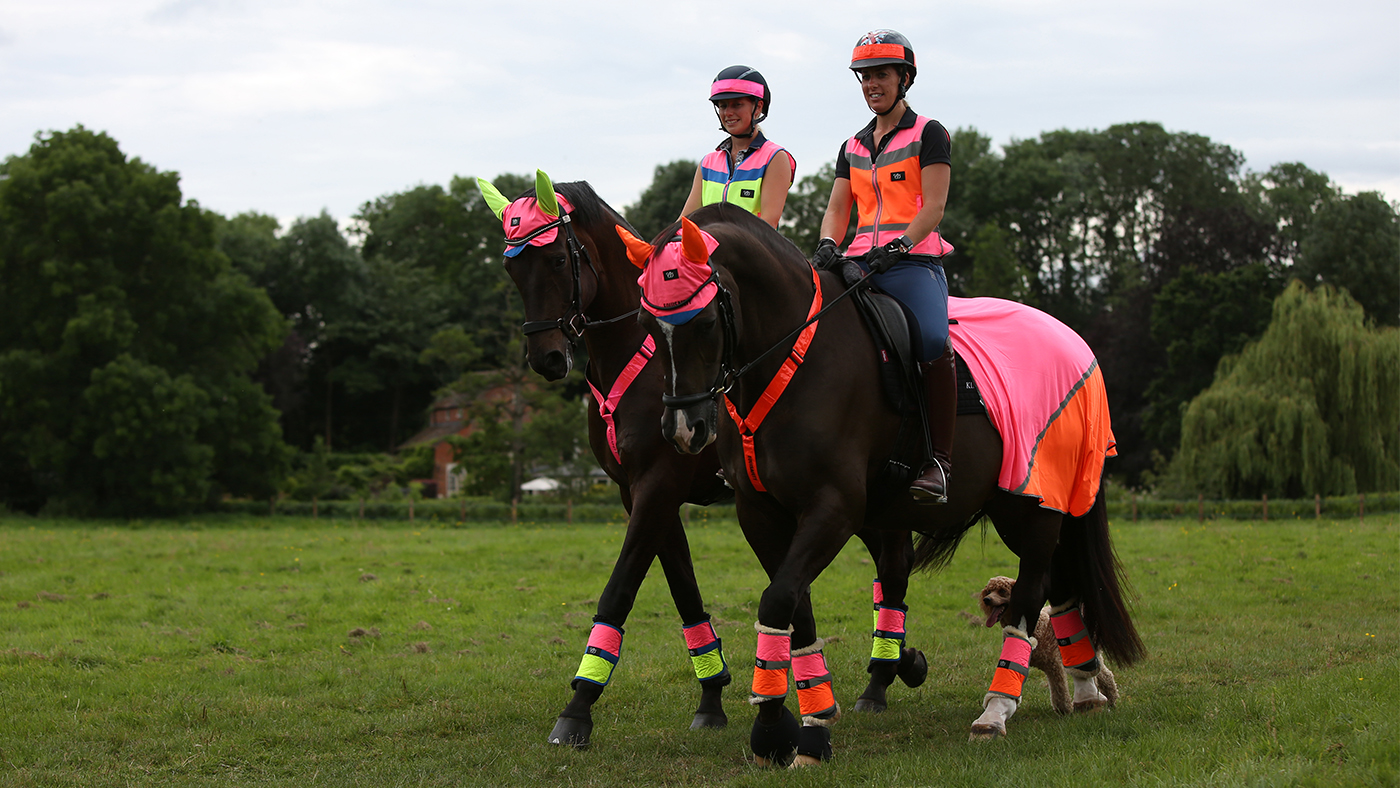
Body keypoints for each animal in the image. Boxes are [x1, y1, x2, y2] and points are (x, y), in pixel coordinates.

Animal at [476, 172, 928, 752]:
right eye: (513, 269)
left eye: (556, 259)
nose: (547, 358)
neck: (638, 358)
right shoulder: (639, 492)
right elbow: (683, 588)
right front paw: (712, 696)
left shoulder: (659, 484)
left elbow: (622, 585)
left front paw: (578, 709)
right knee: (891, 564)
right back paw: (895, 665)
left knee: (894, 563)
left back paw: (887, 674)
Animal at [631, 205, 1144, 761]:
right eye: (646, 324)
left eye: (703, 322)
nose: (683, 429)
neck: (796, 356)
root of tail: (1075, 341)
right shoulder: (760, 513)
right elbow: (795, 606)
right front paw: (810, 720)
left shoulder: (834, 508)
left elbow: (777, 600)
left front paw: (774, 727)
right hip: (1031, 508)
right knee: (1065, 585)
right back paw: (1087, 690)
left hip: (1034, 503)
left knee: (1030, 597)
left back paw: (997, 710)